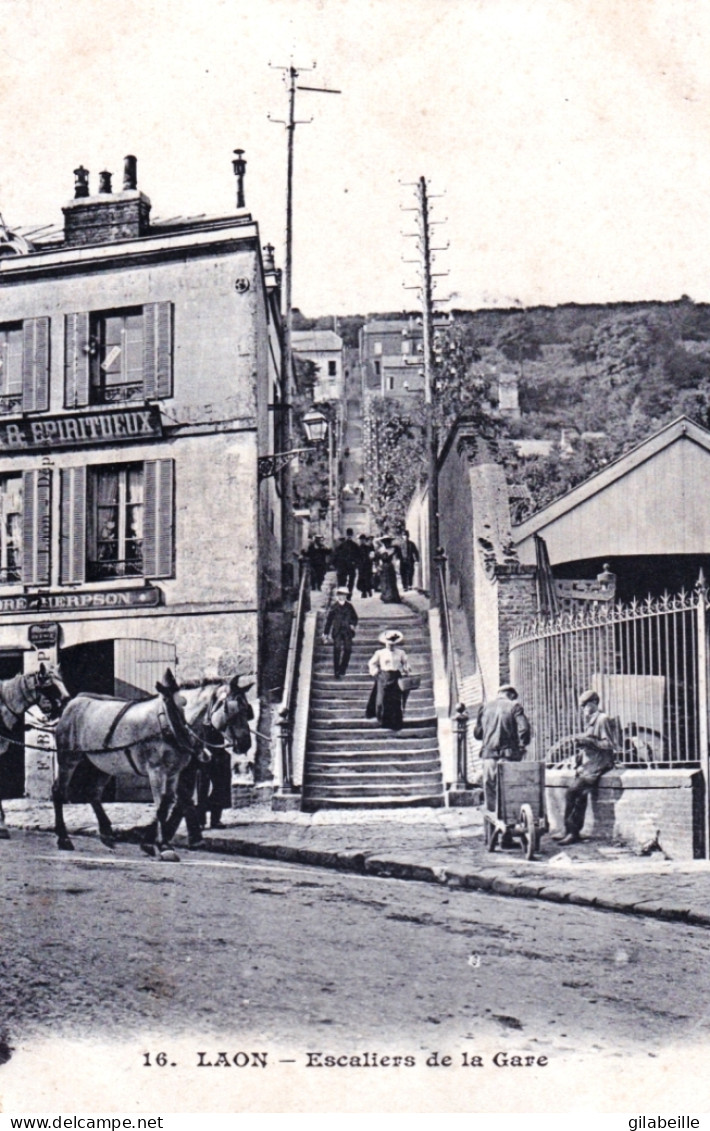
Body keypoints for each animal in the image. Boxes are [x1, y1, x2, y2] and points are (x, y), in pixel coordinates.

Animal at [52, 665, 197, 859]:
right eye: (167, 702)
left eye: (183, 703)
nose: (185, 741)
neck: (162, 724)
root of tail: (74, 702)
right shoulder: (156, 769)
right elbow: (160, 805)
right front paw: (164, 846)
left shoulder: (173, 772)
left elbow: (166, 803)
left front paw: (154, 843)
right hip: (68, 759)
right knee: (59, 791)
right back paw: (64, 838)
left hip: (104, 765)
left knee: (93, 793)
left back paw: (106, 833)